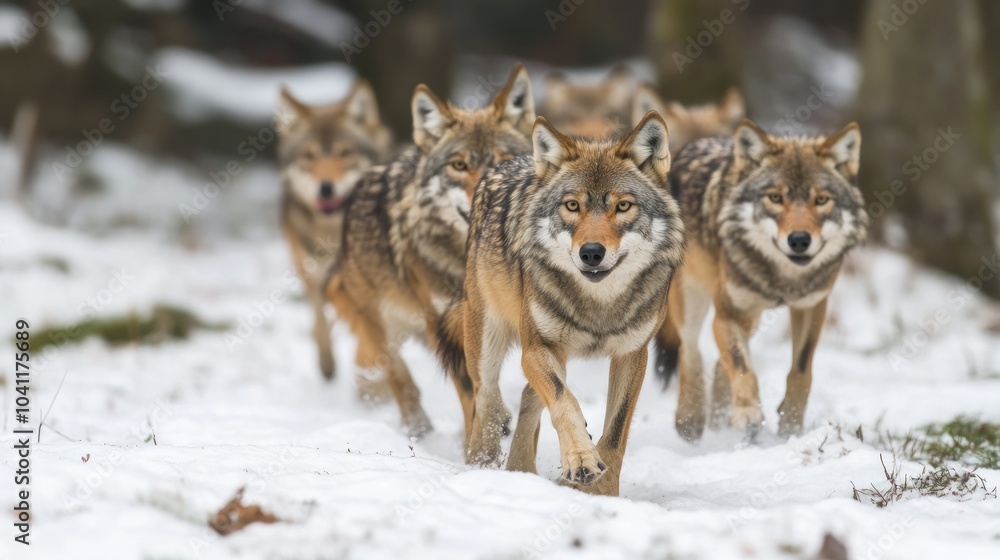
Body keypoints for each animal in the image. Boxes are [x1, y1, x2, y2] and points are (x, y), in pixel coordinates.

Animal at [277, 80, 393, 381]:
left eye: (345, 153)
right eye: (309, 156)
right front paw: (327, 365)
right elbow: (320, 320)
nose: (326, 188)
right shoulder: (312, 274)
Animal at [325, 64, 535, 438]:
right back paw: (416, 429)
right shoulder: (445, 324)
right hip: (385, 326)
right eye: (459, 166)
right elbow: (471, 395)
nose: (484, 194)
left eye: (504, 161)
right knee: (399, 378)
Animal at [439, 112, 685, 497]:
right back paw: (484, 467)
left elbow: (615, 433)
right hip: (488, 346)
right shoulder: (537, 347)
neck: (599, 306)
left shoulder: (633, 355)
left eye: (623, 206)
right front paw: (581, 460)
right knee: (488, 403)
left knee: (528, 397)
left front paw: (603, 492)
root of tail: (506, 164)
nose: (592, 252)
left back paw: (521, 471)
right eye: (572, 205)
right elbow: (564, 402)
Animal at [654, 119, 867, 441]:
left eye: (821, 200)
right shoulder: (728, 313)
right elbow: (742, 366)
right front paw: (748, 414)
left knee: (719, 362)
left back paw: (719, 420)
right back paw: (690, 421)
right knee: (690, 352)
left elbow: (801, 370)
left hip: (750, 319)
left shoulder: (812, 307)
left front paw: (790, 426)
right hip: (694, 301)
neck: (781, 278)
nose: (799, 240)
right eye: (775, 198)